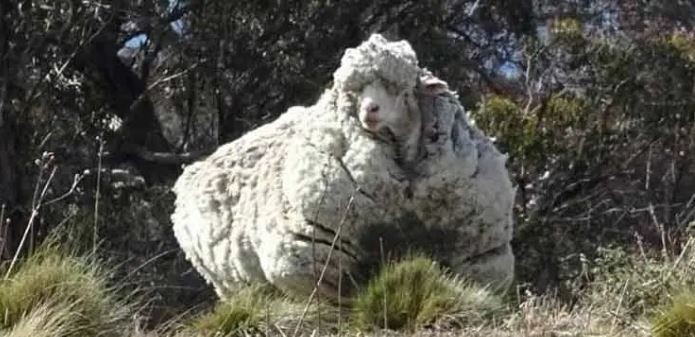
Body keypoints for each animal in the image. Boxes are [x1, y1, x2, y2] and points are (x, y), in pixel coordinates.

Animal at [170, 33, 516, 302]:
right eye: (354, 91)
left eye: (401, 89)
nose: (370, 110)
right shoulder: (318, 264)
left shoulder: (477, 259)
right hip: (232, 284)